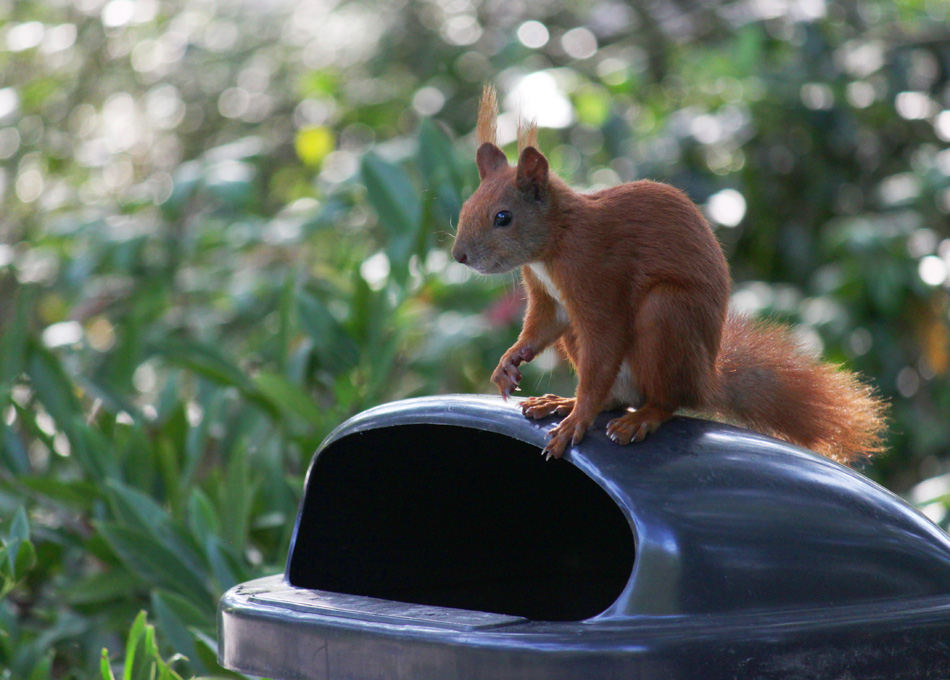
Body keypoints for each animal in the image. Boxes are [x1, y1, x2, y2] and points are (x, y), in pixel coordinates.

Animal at [450, 82, 888, 460]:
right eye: (466, 206)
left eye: (503, 217)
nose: (459, 256)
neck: (552, 245)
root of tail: (706, 381)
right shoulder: (548, 296)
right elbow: (542, 326)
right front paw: (510, 363)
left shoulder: (597, 276)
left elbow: (603, 348)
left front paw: (577, 421)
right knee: (617, 395)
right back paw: (562, 401)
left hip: (667, 315)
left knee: (667, 399)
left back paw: (638, 418)